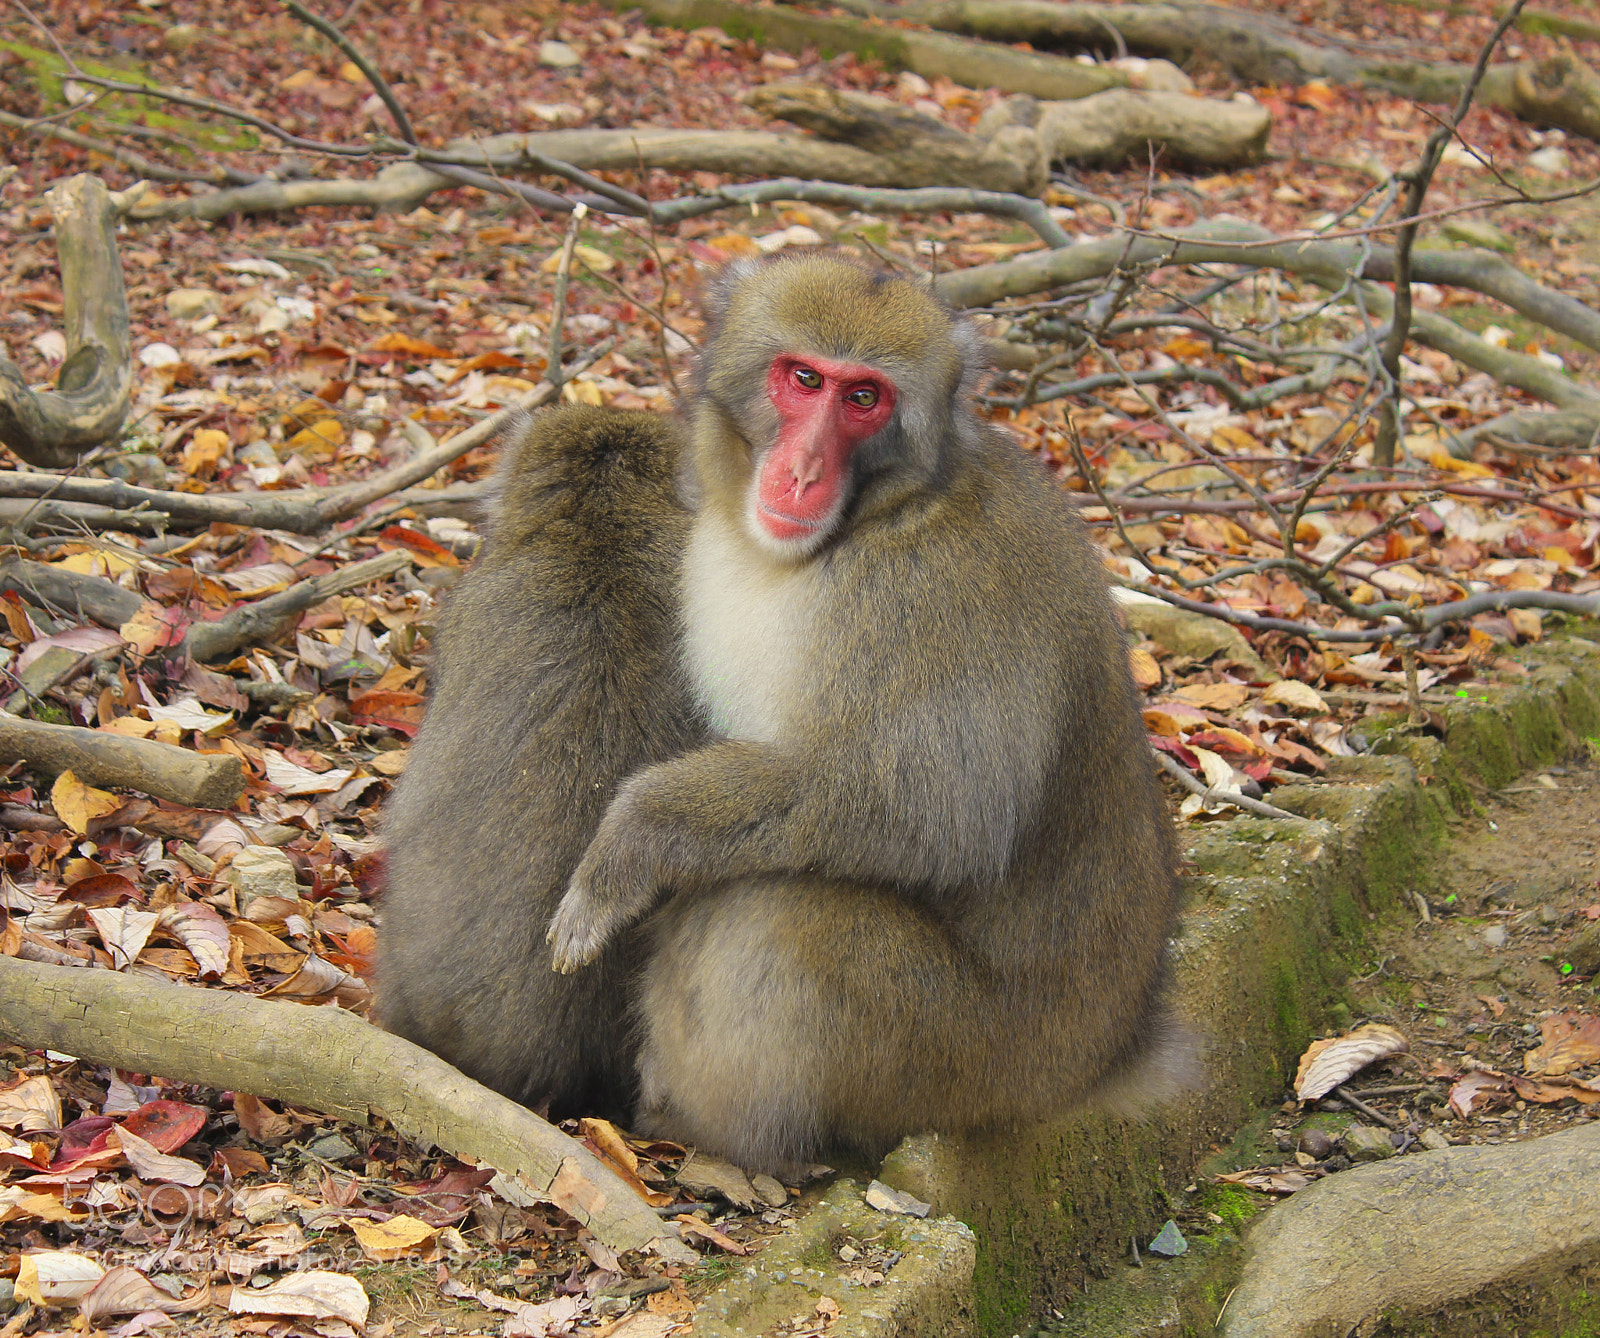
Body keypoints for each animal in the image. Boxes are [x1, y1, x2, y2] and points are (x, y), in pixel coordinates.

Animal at [546, 252, 1192, 1174]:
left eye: (864, 399)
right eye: (804, 379)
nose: (803, 472)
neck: (863, 525)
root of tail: (1105, 1058)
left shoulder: (929, 593)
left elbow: (931, 810)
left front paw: (633, 839)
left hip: (966, 1060)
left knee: (780, 911)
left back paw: (716, 1136)